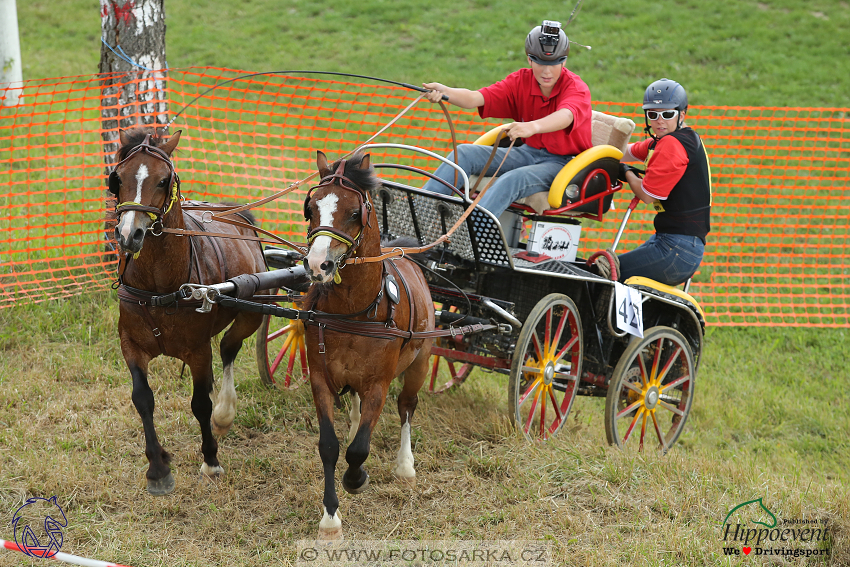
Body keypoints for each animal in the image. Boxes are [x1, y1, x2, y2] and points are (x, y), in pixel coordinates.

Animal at [108, 129, 264, 496]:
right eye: (116, 179)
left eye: (164, 180)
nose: (129, 234)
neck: (158, 287)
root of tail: (236, 215)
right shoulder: (131, 345)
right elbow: (142, 399)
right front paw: (158, 468)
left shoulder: (198, 350)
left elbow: (200, 403)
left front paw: (210, 461)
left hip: (252, 313)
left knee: (229, 348)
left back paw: (224, 413)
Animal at [302, 152, 434, 540]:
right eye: (311, 209)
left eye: (353, 213)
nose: (317, 264)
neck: (355, 310)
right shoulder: (320, 378)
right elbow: (330, 446)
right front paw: (330, 519)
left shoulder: (380, 383)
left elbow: (359, 448)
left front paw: (356, 478)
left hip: (420, 363)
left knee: (407, 407)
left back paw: (405, 466)